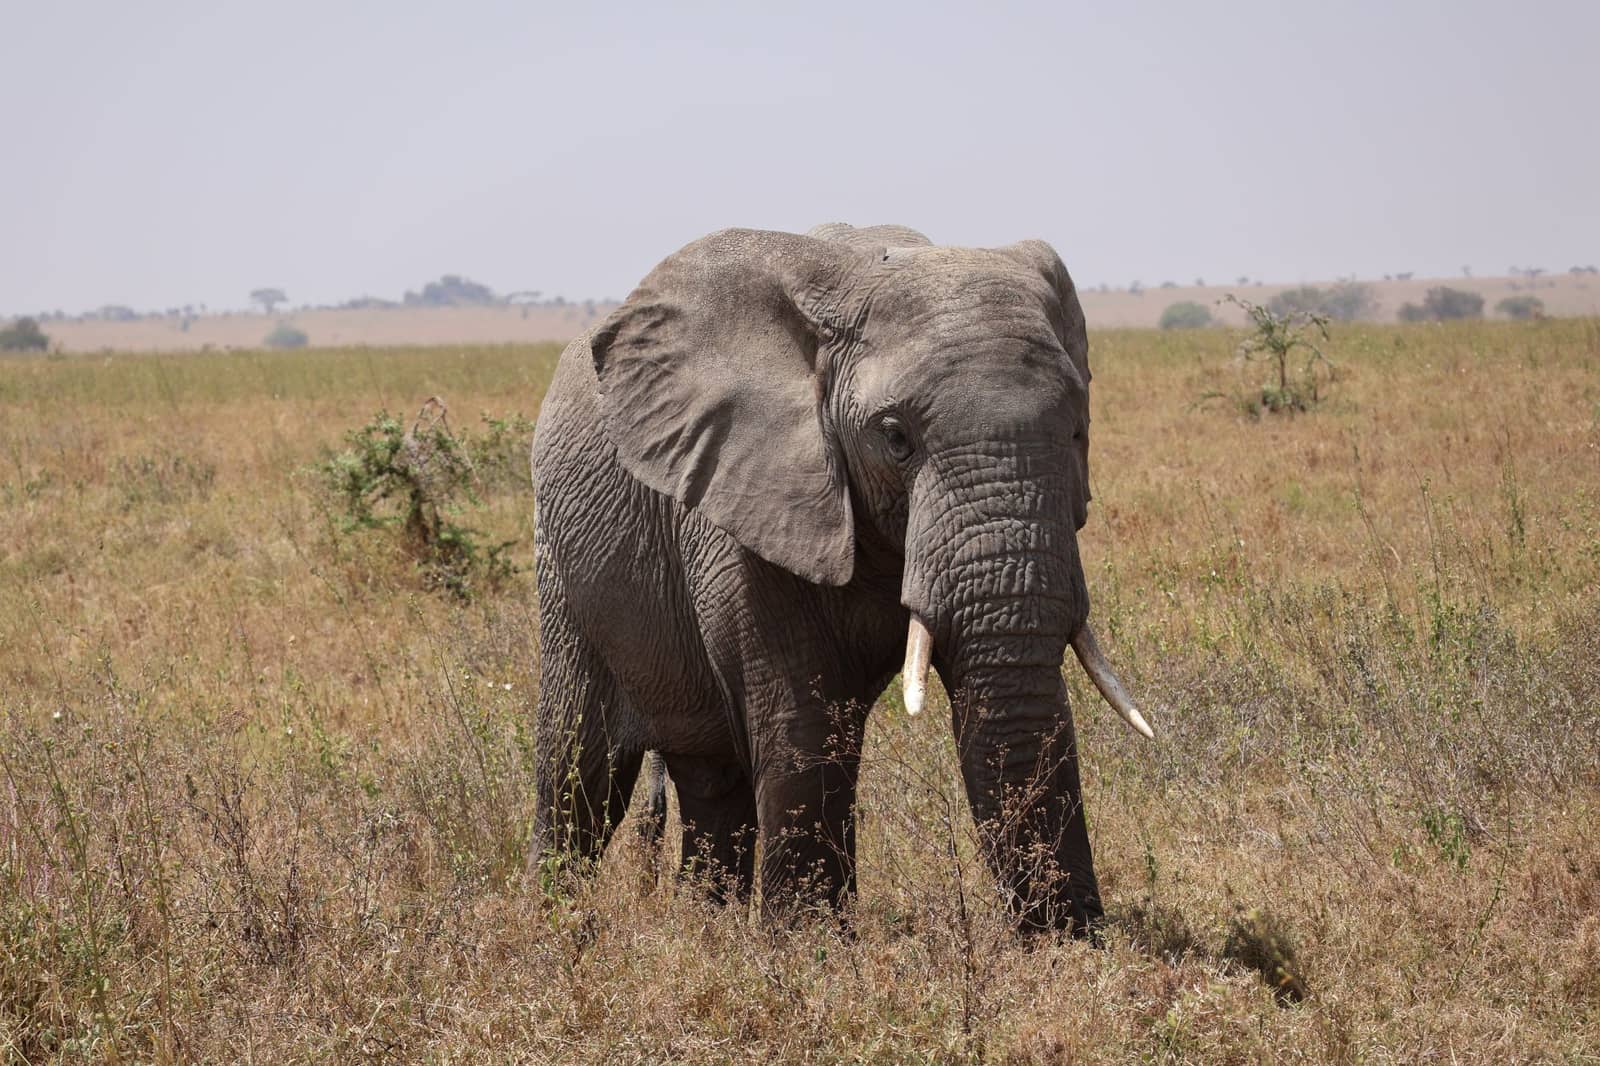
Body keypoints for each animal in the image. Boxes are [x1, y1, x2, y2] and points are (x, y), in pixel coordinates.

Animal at [528, 222, 1152, 935]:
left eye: (1078, 430)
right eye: (895, 436)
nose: (1070, 939)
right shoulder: (747, 504)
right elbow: (805, 716)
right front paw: (809, 947)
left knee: (712, 781)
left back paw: (704, 929)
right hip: (564, 567)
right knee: (579, 775)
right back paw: (550, 925)